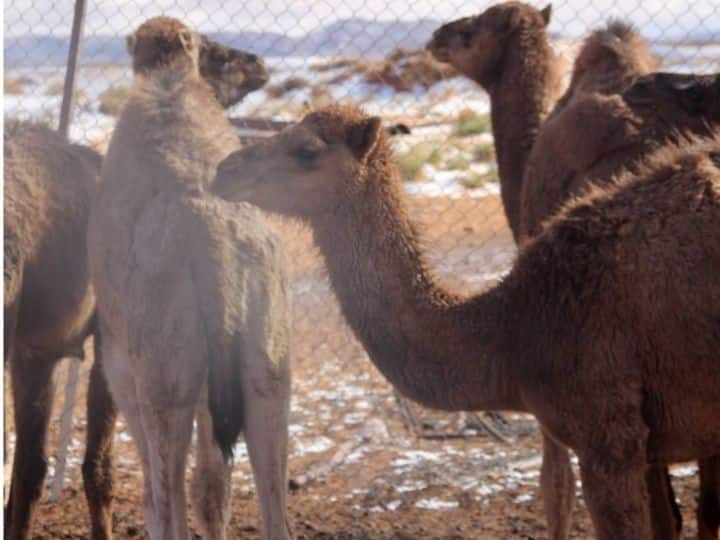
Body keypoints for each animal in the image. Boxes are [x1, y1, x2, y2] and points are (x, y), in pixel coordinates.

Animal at [3, 34, 272, 540]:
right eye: (217, 54)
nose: (258, 62)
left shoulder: (39, 349)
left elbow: (32, 470)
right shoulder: (102, 340)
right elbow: (96, 467)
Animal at [88, 17, 291, 540]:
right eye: (214, 51)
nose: (257, 62)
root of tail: (210, 235)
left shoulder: (123, 371)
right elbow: (213, 490)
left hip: (162, 378)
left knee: (164, 494)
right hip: (267, 363)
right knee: (267, 489)